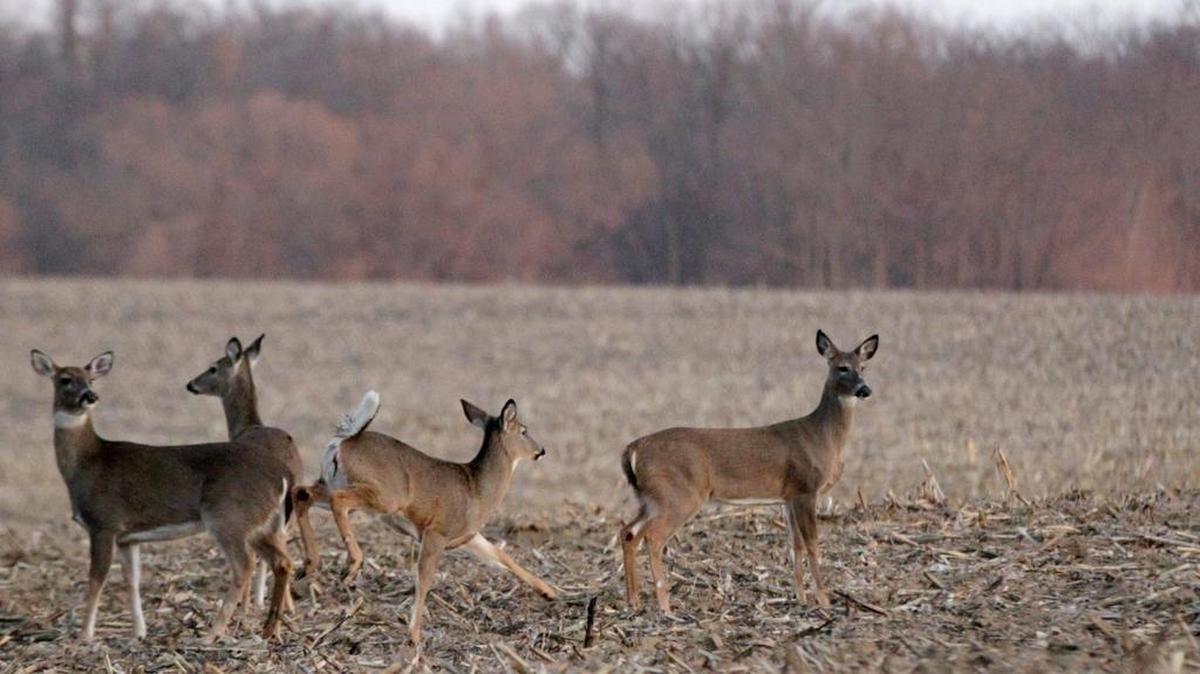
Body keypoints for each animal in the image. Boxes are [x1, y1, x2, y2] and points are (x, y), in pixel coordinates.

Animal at [30, 349, 296, 641]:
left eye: (91, 379)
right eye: (65, 379)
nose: (90, 396)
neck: (88, 463)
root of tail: (282, 474)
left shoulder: (103, 523)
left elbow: (96, 579)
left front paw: (85, 636)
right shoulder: (127, 537)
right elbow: (132, 580)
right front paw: (139, 632)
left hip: (228, 517)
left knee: (244, 566)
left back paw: (212, 633)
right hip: (261, 524)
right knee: (282, 561)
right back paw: (270, 628)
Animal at [292, 393, 557, 645]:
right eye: (524, 430)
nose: (542, 451)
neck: (477, 489)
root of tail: (344, 439)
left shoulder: (466, 536)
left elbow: (501, 555)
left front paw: (549, 592)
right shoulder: (436, 532)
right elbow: (424, 579)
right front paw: (414, 635)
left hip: (332, 484)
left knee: (301, 493)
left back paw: (308, 566)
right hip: (384, 496)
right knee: (337, 501)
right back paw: (351, 565)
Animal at [620, 330, 878, 614]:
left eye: (863, 367)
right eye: (842, 368)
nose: (865, 390)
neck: (822, 436)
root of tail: (634, 448)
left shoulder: (789, 496)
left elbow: (794, 546)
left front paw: (800, 598)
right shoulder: (806, 488)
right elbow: (812, 544)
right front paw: (824, 600)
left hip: (651, 498)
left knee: (629, 532)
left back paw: (633, 602)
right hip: (679, 495)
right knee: (653, 537)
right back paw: (664, 606)